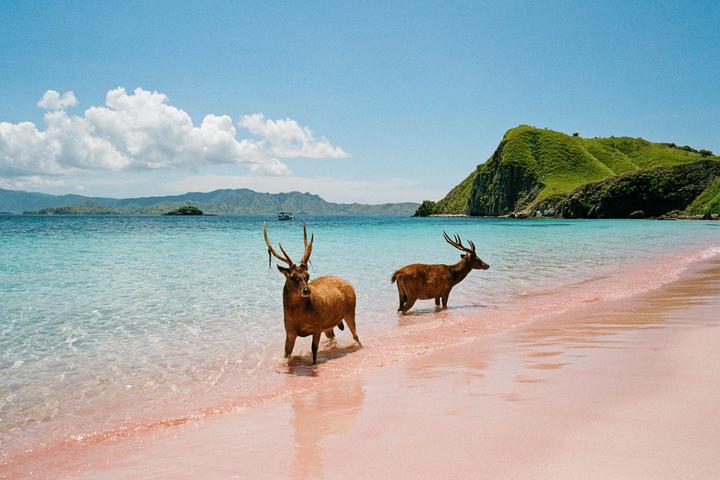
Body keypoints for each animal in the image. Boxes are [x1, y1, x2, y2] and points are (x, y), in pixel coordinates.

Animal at [264, 223, 361, 365]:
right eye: (293, 277)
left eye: (307, 275)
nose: (307, 290)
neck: (299, 317)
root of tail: (349, 283)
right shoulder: (289, 331)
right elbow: (286, 354)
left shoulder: (318, 326)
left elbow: (314, 350)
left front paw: (313, 364)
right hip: (329, 326)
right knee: (333, 336)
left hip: (350, 311)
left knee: (356, 335)